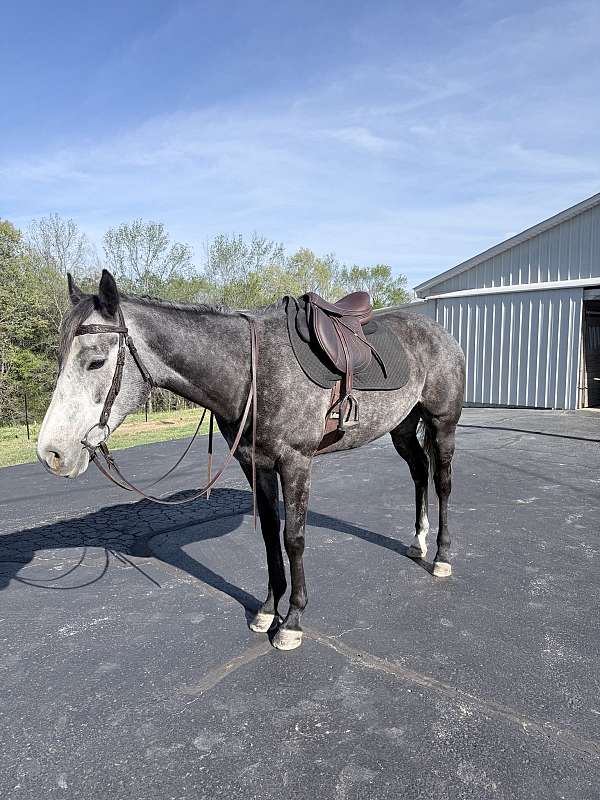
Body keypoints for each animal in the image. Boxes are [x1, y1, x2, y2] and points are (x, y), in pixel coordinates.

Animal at [37, 269, 465, 651]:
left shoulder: (295, 463)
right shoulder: (255, 464)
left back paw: (442, 557)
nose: (51, 453)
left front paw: (292, 621)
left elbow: (293, 538)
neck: (251, 372)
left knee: (442, 483)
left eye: (95, 361)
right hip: (402, 429)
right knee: (418, 472)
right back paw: (417, 542)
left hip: (442, 424)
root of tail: (440, 333)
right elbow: (270, 536)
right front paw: (268, 609)